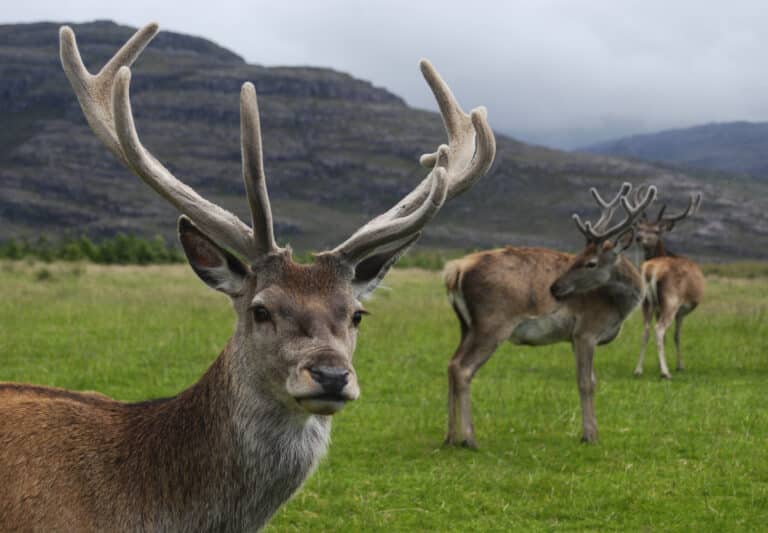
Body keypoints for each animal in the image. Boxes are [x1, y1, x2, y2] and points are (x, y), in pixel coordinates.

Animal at [442, 183, 656, 447]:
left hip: (466, 325)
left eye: (590, 262)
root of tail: (454, 271)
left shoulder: (575, 338)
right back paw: (469, 439)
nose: (554, 288)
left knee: (451, 363)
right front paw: (589, 435)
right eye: (578, 257)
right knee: (463, 369)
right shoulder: (586, 331)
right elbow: (585, 383)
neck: (617, 307)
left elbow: (592, 380)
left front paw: (593, 432)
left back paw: (450, 437)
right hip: (491, 324)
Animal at [633, 191, 704, 379]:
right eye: (640, 228)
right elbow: (676, 336)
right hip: (671, 299)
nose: (638, 237)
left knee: (645, 330)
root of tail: (651, 269)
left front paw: (660, 364)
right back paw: (665, 373)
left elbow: (668, 338)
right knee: (659, 329)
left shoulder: (659, 308)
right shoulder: (681, 311)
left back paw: (638, 370)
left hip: (646, 302)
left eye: (656, 230)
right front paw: (679, 366)